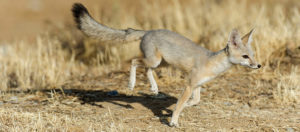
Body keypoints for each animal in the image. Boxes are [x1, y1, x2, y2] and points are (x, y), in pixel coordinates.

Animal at [71, 2, 262, 127]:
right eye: (245, 57)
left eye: (252, 56)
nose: (258, 66)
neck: (213, 62)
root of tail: (149, 31)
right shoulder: (189, 84)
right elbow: (180, 104)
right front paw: (173, 120)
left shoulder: (197, 85)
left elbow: (195, 100)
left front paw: (184, 106)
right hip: (155, 60)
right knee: (134, 61)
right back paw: (131, 84)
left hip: (160, 63)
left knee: (146, 69)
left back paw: (154, 88)